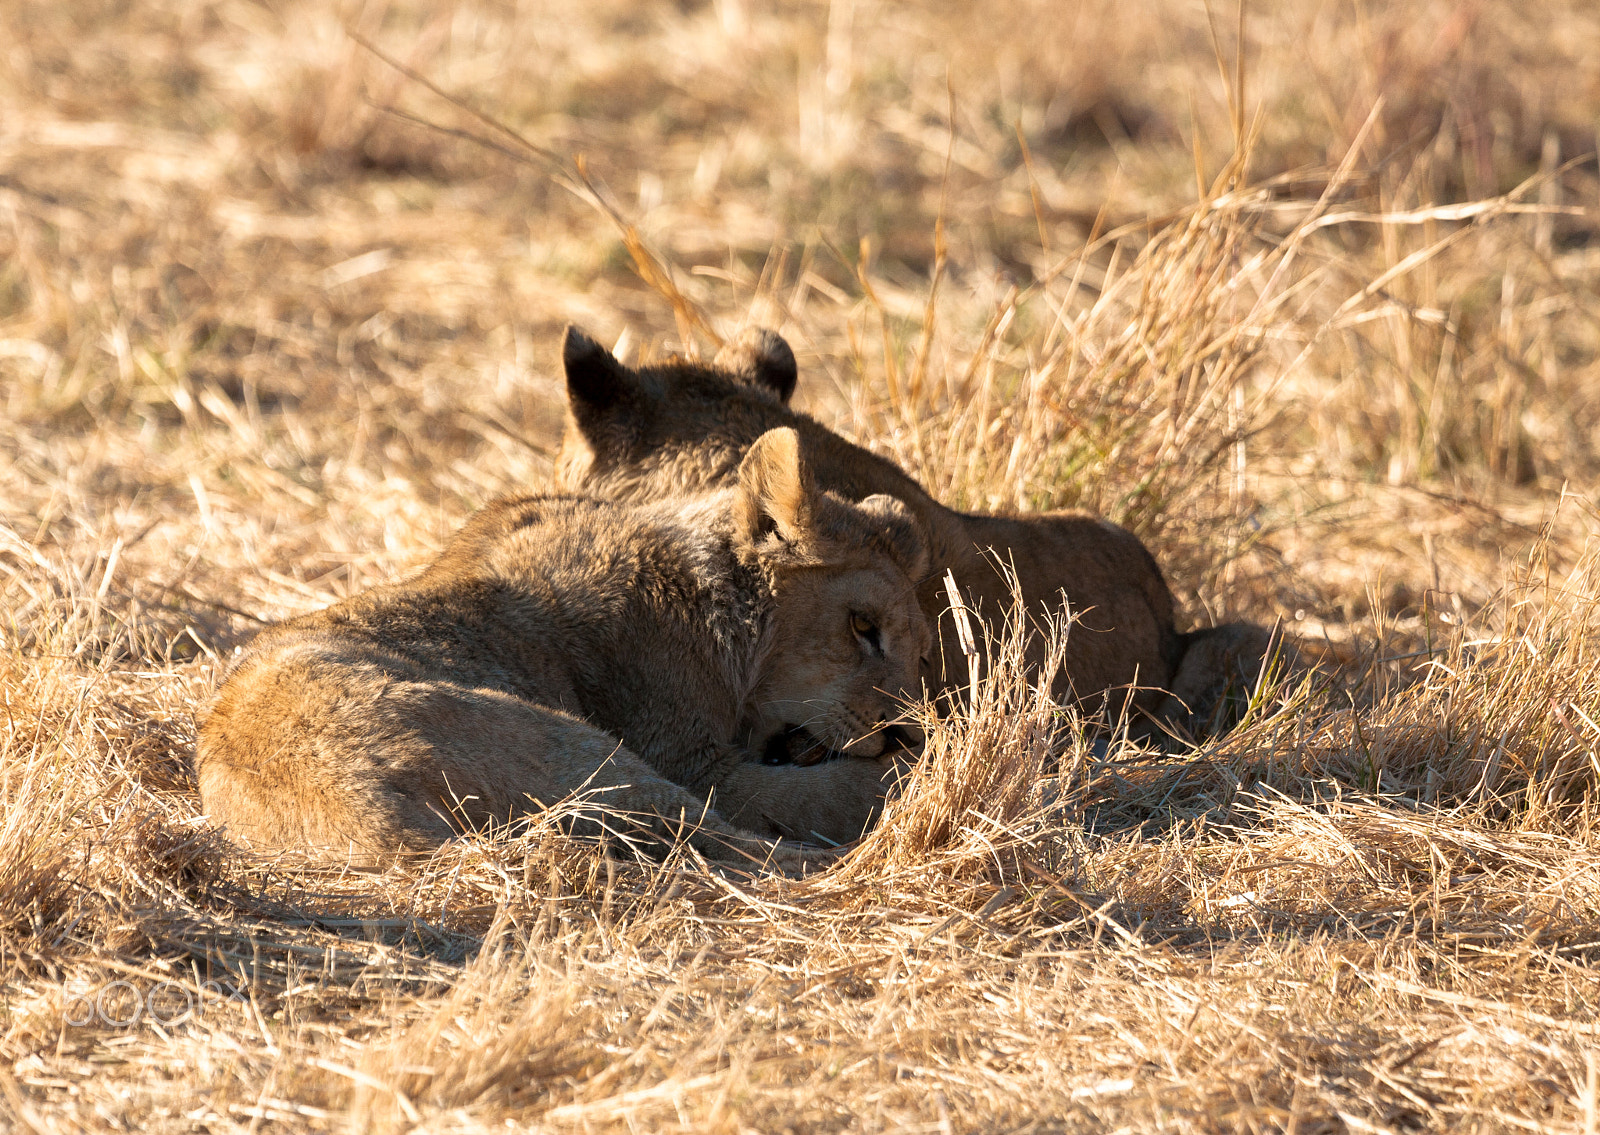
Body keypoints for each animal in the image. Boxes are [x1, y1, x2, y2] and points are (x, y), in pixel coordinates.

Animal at [196, 427, 932, 869]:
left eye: (921, 650)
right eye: (862, 626)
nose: (908, 730)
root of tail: (356, 804)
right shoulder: (694, 760)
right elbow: (809, 796)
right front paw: (914, 767)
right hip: (580, 749)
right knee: (731, 844)